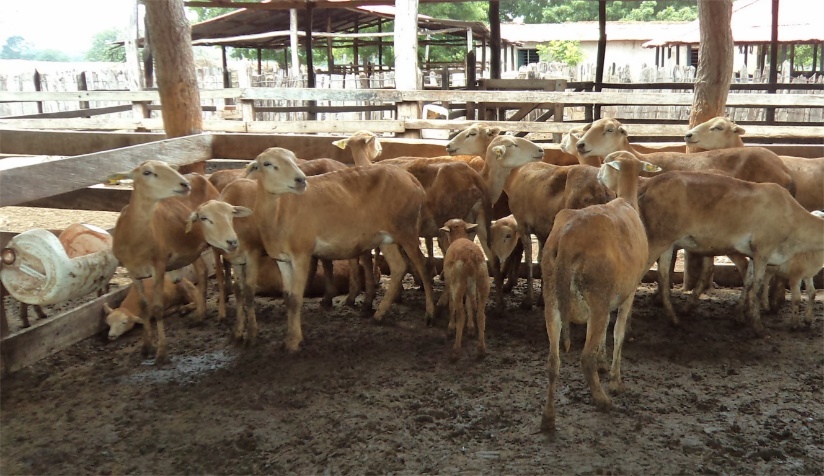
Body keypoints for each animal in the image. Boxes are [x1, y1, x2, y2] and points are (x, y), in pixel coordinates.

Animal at [108, 161, 219, 363]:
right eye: (147, 172)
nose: (184, 185)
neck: (135, 238)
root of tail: (198, 175)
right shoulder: (132, 271)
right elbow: (144, 308)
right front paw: (146, 347)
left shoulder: (158, 266)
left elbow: (157, 309)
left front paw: (161, 353)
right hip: (192, 250)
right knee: (202, 271)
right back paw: (200, 315)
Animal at [249, 147, 435, 352]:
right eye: (267, 164)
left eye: (294, 160)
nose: (300, 180)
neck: (279, 211)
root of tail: (412, 179)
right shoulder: (282, 259)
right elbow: (288, 298)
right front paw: (289, 339)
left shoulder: (301, 254)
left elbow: (297, 298)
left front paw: (295, 342)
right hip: (387, 237)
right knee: (399, 267)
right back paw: (379, 315)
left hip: (406, 229)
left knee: (423, 267)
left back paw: (430, 314)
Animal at [440, 218, 490, 362]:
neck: (459, 237)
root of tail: (470, 257)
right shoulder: (468, 287)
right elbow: (468, 304)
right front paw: (471, 328)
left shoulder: (449, 284)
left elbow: (451, 306)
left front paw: (450, 328)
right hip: (483, 282)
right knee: (481, 315)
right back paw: (481, 350)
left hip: (458, 284)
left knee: (460, 315)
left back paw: (455, 351)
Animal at [541, 151, 660, 432]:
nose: (598, 175)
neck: (627, 200)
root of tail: (566, 238)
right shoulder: (628, 293)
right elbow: (618, 332)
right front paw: (616, 380)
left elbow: (605, 336)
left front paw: (604, 364)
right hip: (597, 299)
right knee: (584, 358)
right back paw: (603, 400)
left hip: (553, 300)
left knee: (553, 360)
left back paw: (548, 418)